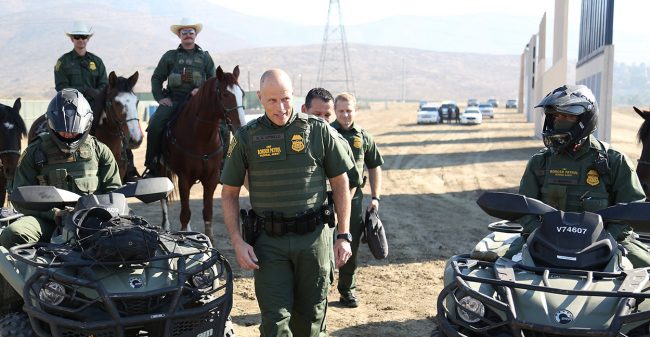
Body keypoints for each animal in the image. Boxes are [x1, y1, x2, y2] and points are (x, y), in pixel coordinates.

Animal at [158, 64, 244, 240]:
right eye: (225, 94)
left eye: (242, 94)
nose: (241, 126)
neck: (200, 137)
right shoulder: (184, 179)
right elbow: (185, 214)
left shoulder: (211, 179)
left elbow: (207, 212)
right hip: (161, 168)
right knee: (163, 197)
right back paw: (166, 226)